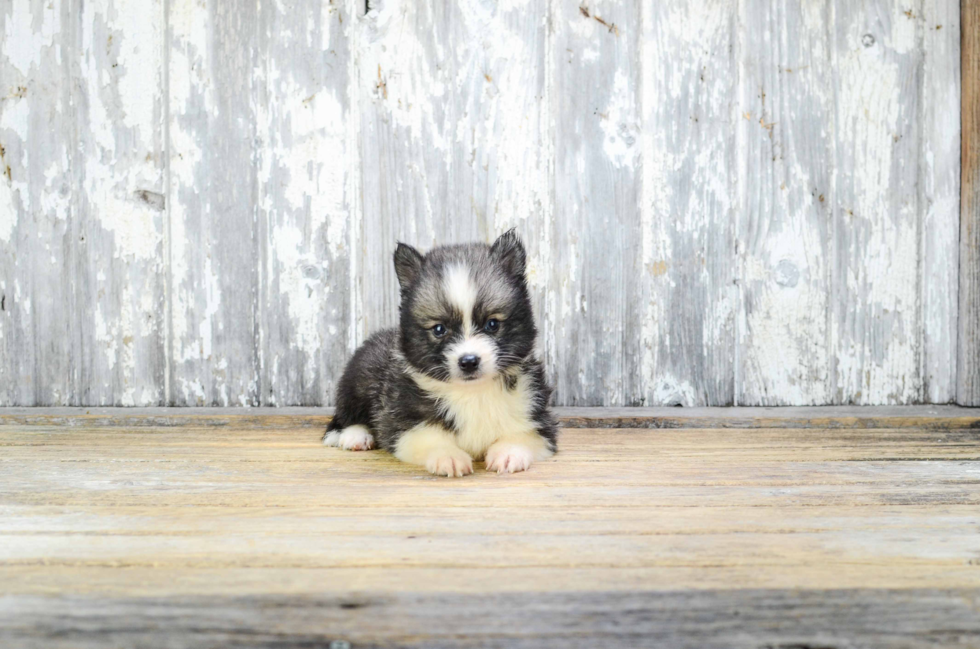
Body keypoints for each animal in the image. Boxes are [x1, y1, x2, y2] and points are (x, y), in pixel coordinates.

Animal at [324, 229, 560, 476]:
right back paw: (355, 435)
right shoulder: (403, 423)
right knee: (344, 416)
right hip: (361, 375)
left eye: (492, 324)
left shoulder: (536, 415)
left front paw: (509, 453)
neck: (472, 392)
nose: (469, 361)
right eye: (439, 329)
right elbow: (430, 437)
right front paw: (448, 456)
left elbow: (524, 434)